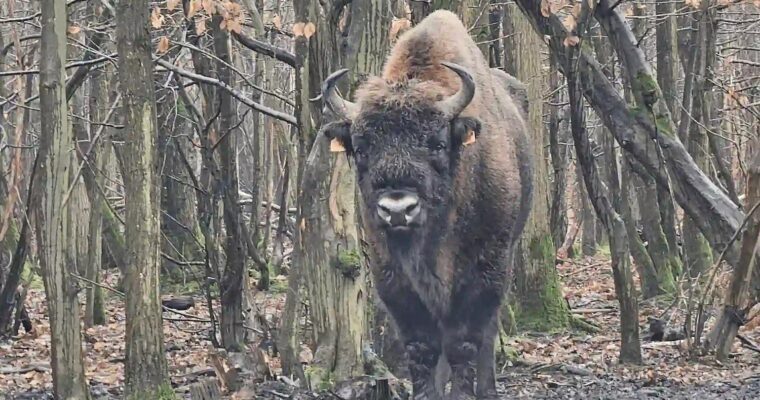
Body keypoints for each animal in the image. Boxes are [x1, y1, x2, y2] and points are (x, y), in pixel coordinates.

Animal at [317, 10, 534, 400]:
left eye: (436, 144)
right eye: (362, 147)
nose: (398, 210)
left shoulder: (483, 272)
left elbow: (465, 342)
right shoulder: (393, 279)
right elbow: (423, 347)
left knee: (487, 333)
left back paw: (487, 388)